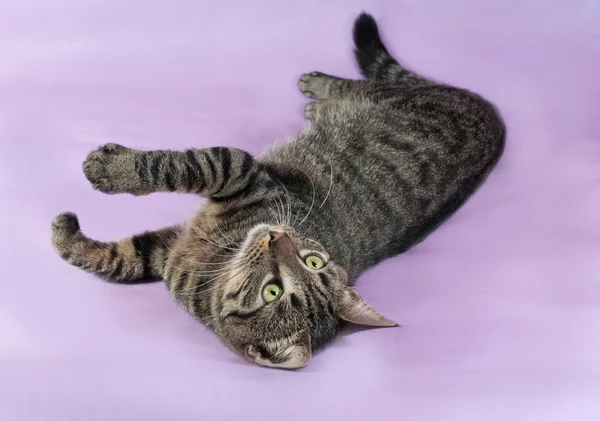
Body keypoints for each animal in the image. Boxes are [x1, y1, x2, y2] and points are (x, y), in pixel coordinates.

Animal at [49, 13, 504, 368]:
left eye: (274, 291)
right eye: (314, 260)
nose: (276, 236)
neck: (211, 265)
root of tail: (494, 118)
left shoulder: (237, 174)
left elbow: (171, 169)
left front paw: (108, 170)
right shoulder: (189, 227)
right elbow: (115, 257)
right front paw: (65, 233)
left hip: (384, 97)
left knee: (364, 87)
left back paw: (317, 91)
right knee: (360, 87)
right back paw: (318, 93)